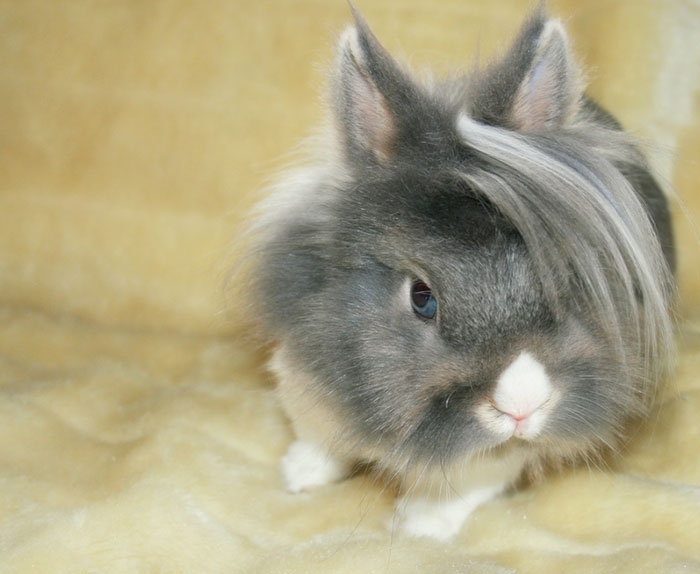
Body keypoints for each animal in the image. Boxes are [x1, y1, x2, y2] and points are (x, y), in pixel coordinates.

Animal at [245, 6, 676, 541]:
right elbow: (319, 440)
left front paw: (421, 524)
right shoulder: (303, 383)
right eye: (421, 296)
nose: (521, 407)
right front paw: (300, 475)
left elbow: (472, 482)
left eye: (568, 274)